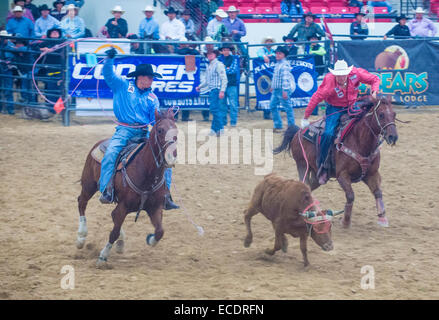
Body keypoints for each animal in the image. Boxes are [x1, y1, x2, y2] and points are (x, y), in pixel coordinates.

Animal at [76, 110, 178, 268]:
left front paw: (150, 238)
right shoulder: (123, 206)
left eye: (176, 130)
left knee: (113, 216)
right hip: (89, 185)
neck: (147, 173)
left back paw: (120, 242)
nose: (171, 157)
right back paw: (81, 237)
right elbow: (113, 232)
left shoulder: (155, 208)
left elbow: (160, 231)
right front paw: (103, 256)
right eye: (160, 130)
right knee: (82, 202)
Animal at [276, 96, 398, 229]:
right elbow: (350, 196)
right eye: (381, 115)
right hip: (302, 164)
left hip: (317, 174)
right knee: (304, 184)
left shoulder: (372, 174)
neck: (359, 141)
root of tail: (299, 131)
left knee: (310, 186)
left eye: (394, 114)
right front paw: (345, 221)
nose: (393, 137)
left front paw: (382, 218)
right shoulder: (342, 175)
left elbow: (378, 192)